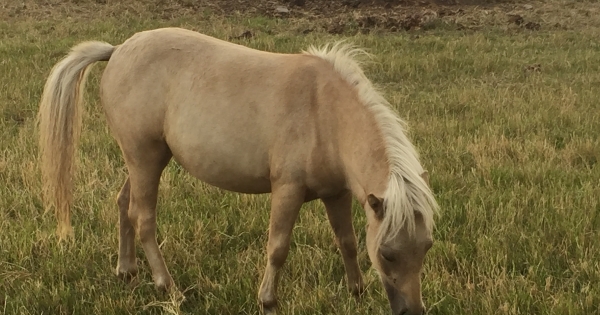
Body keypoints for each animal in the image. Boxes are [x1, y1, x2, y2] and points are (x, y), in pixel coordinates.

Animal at [38, 27, 440, 315]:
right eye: (388, 254)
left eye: (426, 246)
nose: (412, 312)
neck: (325, 110)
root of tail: (118, 49)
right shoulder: (288, 190)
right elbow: (278, 247)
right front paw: (268, 301)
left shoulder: (336, 193)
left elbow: (348, 241)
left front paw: (356, 292)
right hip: (145, 158)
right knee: (143, 217)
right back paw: (169, 288)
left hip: (144, 160)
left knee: (123, 203)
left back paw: (127, 271)